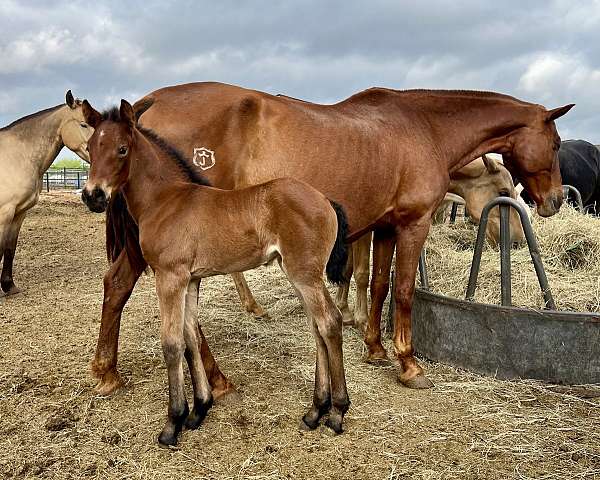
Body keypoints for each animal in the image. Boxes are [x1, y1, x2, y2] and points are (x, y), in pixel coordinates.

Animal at [0, 91, 91, 294]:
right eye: (83, 124)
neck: (18, 156)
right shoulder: (4, 212)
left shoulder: (19, 212)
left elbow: (10, 248)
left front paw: (9, 286)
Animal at [80, 100, 352, 446]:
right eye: (89, 147)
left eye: (122, 149)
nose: (93, 196)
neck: (166, 200)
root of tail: (325, 200)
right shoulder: (191, 279)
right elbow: (191, 337)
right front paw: (199, 410)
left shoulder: (170, 277)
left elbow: (172, 343)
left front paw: (173, 422)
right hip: (299, 274)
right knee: (317, 327)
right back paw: (315, 410)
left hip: (305, 274)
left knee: (329, 323)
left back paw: (337, 411)